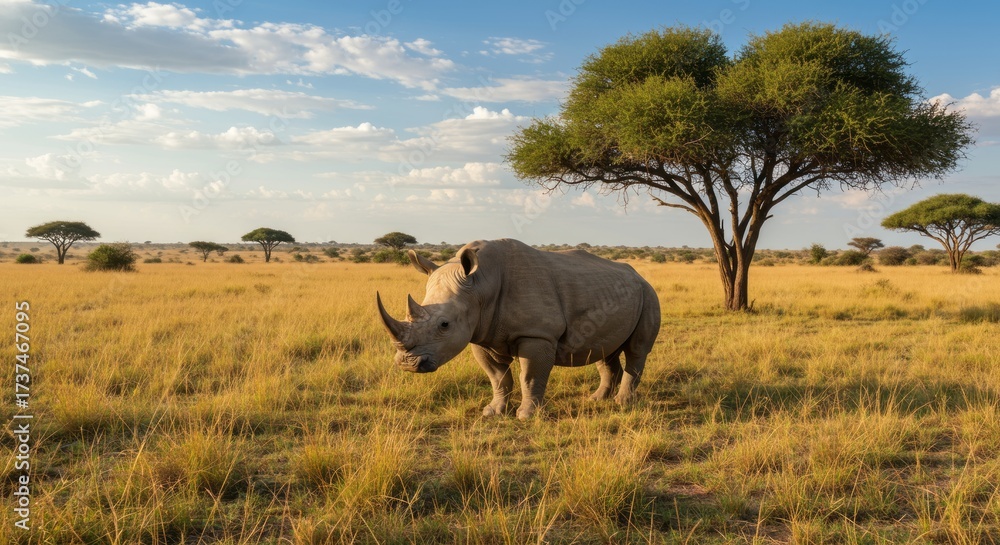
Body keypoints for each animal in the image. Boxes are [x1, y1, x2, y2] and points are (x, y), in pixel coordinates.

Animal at [376, 239, 660, 419]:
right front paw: (492, 412)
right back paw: (596, 400)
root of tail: (638, 275)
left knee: (636, 350)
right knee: (603, 350)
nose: (407, 364)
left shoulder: (537, 334)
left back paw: (622, 403)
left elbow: (529, 376)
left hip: (648, 293)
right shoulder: (480, 334)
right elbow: (497, 377)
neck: (480, 286)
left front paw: (526, 416)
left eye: (444, 324)